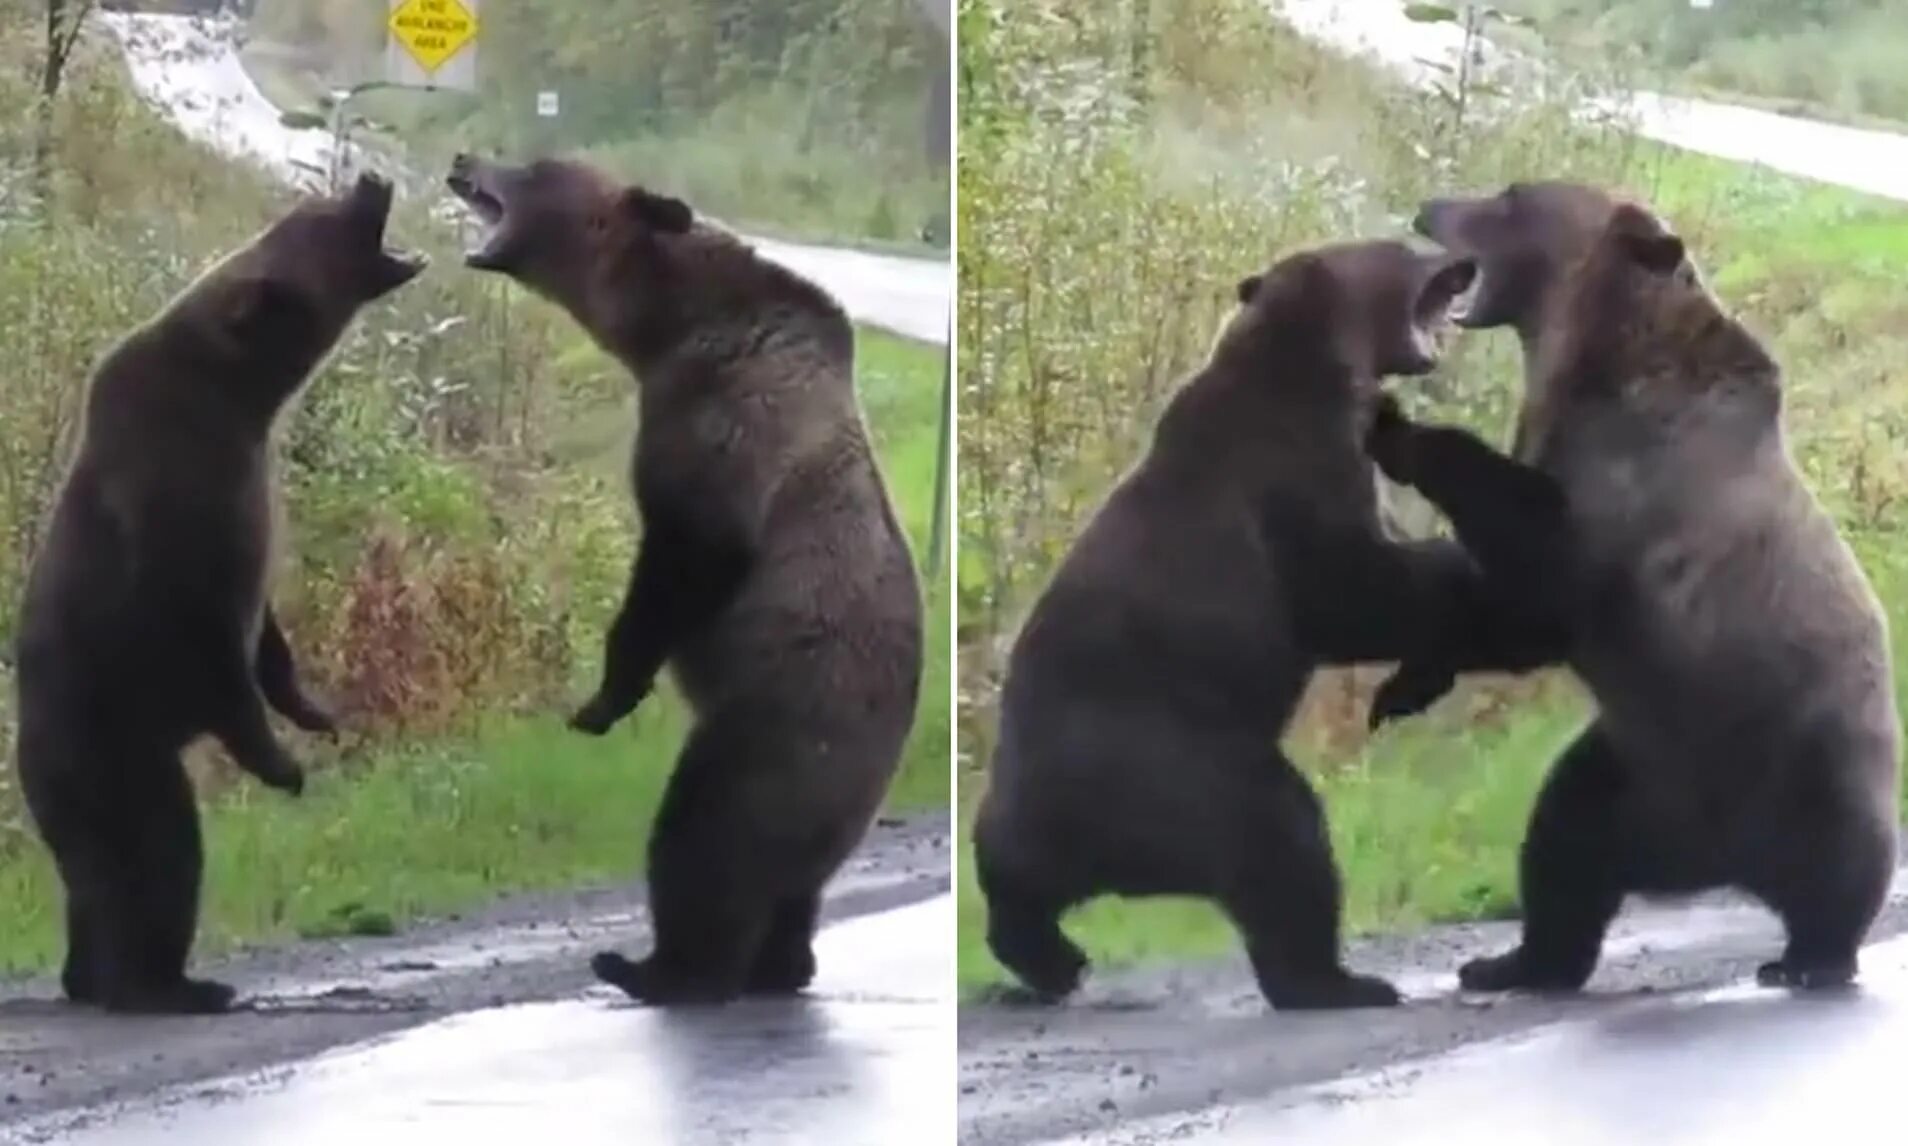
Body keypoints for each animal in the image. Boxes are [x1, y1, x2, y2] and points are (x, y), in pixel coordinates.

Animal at [18, 169, 423, 1006]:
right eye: (320, 216)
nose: (370, 178)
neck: (242, 396)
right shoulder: (180, 518)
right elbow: (215, 648)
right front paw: (285, 765)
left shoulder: (246, 508)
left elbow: (266, 631)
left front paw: (315, 710)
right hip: (107, 744)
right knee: (155, 852)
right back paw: (160, 985)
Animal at [446, 154, 923, 999]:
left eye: (534, 167)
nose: (465, 159)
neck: (664, 325)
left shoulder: (720, 425)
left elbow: (685, 558)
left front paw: (602, 700)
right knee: (791, 888)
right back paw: (778, 963)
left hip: (774, 729)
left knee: (700, 838)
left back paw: (653, 966)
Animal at [976, 236, 1511, 1006]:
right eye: (1403, 248)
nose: (1462, 259)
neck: (1314, 367)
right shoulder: (1289, 477)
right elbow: (1351, 587)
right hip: (1173, 761)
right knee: (1280, 834)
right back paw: (1337, 981)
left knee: (1020, 873)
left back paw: (1048, 956)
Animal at [1373, 181, 1892, 991]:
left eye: (1513, 198)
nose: (1433, 205)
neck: (1588, 352)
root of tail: (1721, 867)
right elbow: (1509, 612)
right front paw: (1407, 681)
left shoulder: (1633, 485)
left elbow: (1541, 580)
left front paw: (1400, 429)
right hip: (1633, 771)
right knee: (1564, 843)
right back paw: (1512, 962)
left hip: (1808, 753)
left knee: (1842, 862)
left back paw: (1809, 958)